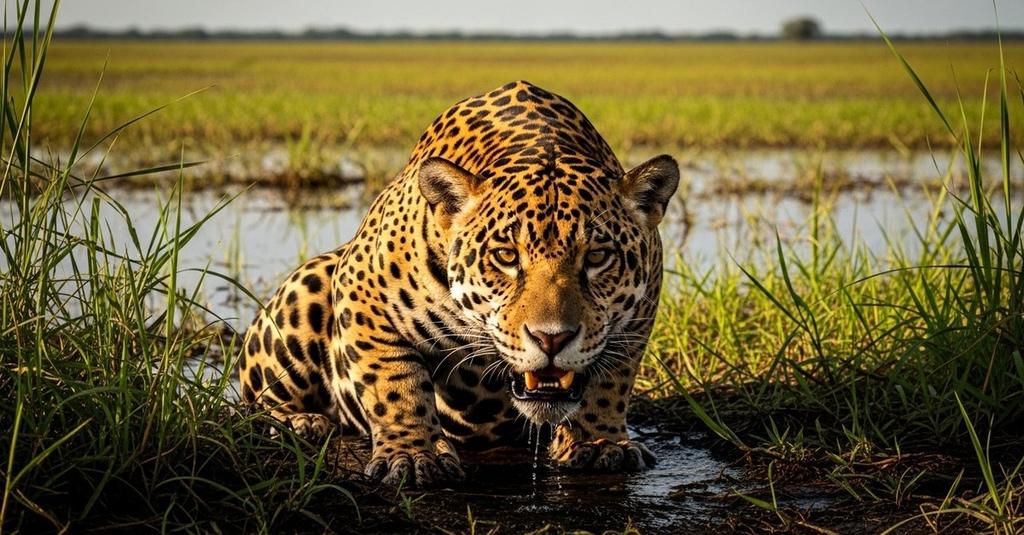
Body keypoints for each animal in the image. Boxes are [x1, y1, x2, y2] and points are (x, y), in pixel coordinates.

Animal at [238, 80, 679, 486]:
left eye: (597, 257)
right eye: (506, 256)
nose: (551, 339)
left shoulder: (640, 312)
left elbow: (612, 377)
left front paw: (599, 441)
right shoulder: (359, 284)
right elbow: (393, 380)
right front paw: (413, 453)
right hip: (311, 281)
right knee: (253, 404)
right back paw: (302, 422)